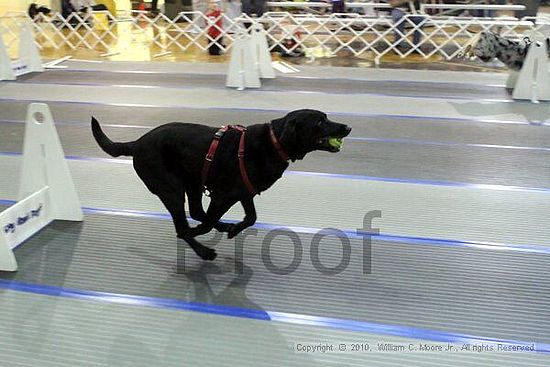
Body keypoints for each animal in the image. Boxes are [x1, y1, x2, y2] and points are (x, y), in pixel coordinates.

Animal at [89, 109, 350, 262]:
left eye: (326, 117)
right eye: (320, 121)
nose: (347, 127)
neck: (273, 142)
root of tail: (136, 143)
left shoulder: (244, 192)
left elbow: (251, 217)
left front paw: (233, 229)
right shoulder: (224, 195)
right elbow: (205, 224)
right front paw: (203, 233)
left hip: (193, 182)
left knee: (197, 211)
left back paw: (223, 227)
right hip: (171, 188)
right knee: (184, 225)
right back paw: (203, 250)